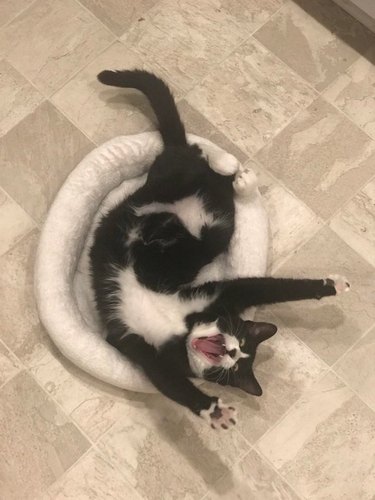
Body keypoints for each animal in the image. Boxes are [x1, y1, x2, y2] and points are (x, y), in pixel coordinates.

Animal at [91, 69, 350, 430]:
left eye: (237, 363)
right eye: (238, 338)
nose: (230, 352)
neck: (183, 328)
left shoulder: (192, 318)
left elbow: (169, 380)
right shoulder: (158, 334)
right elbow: (267, 287)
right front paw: (214, 410)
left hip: (218, 225)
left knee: (214, 196)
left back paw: (238, 179)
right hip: (169, 182)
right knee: (195, 158)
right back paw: (229, 165)